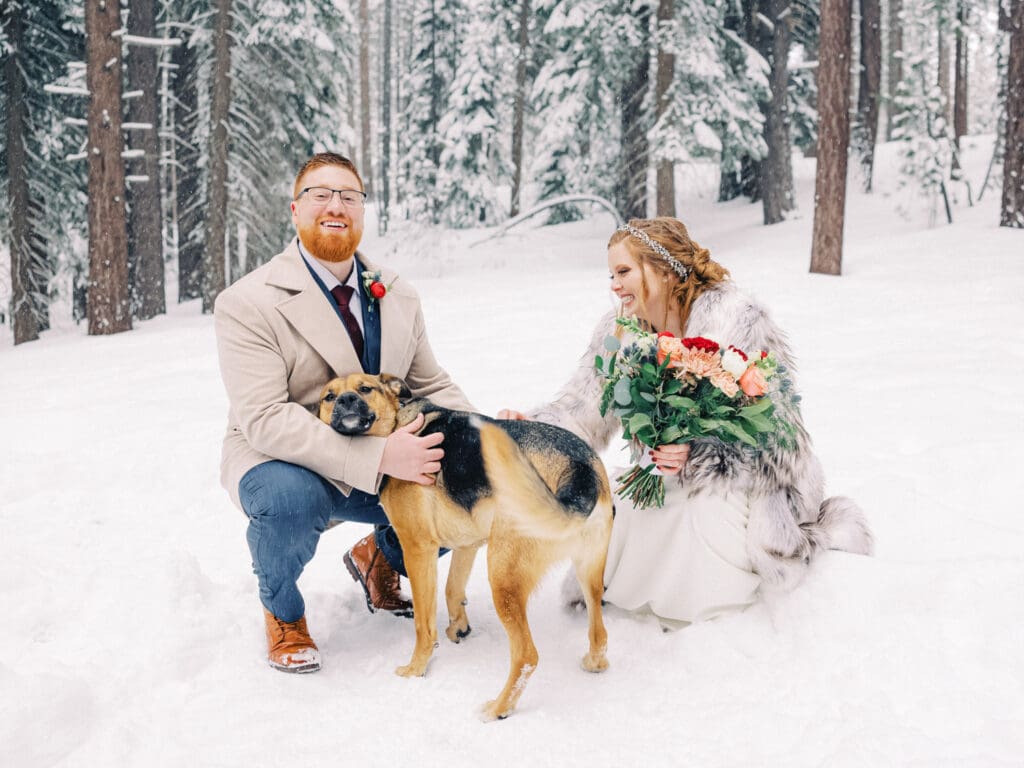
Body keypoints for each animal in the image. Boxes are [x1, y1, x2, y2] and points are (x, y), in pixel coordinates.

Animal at [315, 372, 610, 720]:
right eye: (329, 396)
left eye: (365, 389)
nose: (346, 400)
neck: (398, 425)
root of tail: (580, 473)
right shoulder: (468, 542)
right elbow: (452, 588)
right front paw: (459, 627)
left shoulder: (418, 549)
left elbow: (424, 623)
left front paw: (416, 669)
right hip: (588, 571)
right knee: (599, 633)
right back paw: (593, 662)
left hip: (503, 577)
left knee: (527, 656)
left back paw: (498, 708)